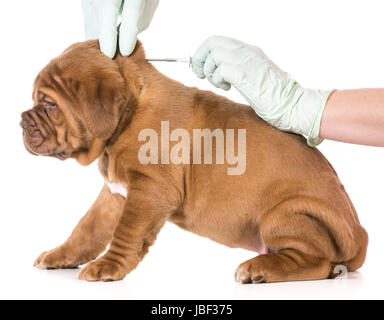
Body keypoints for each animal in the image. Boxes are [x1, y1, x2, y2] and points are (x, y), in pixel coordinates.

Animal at [19, 40, 368, 282]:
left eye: (50, 104)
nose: (21, 121)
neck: (130, 114)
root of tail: (360, 237)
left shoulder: (149, 192)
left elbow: (126, 233)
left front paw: (108, 266)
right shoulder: (116, 194)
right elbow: (86, 230)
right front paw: (61, 255)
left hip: (283, 214)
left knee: (317, 263)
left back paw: (259, 269)